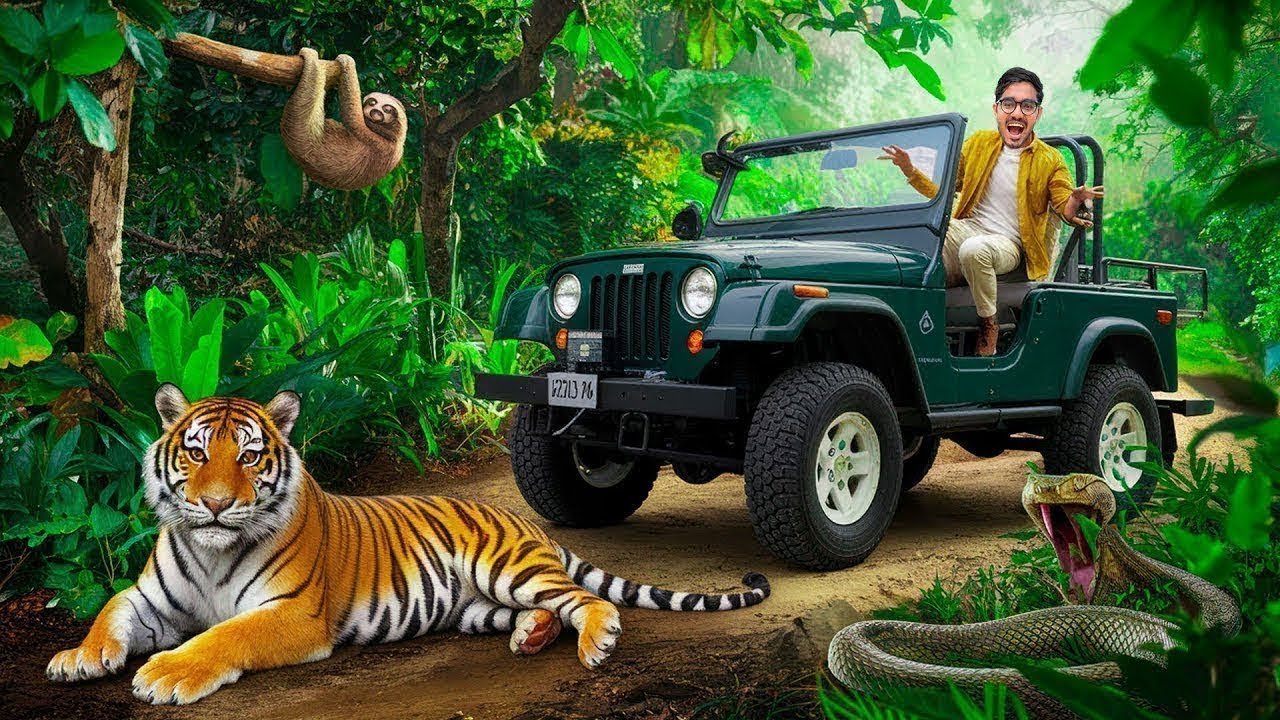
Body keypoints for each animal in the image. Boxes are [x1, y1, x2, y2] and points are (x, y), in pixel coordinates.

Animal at [46, 384, 771, 705]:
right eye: (196, 453)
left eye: (249, 456)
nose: (218, 503)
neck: (211, 548)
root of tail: (526, 524)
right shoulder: (150, 597)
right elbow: (110, 611)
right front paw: (77, 658)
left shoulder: (295, 612)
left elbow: (226, 636)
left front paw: (165, 673)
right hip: (477, 606)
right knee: (541, 611)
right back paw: (532, 635)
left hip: (508, 568)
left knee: (585, 600)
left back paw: (597, 641)